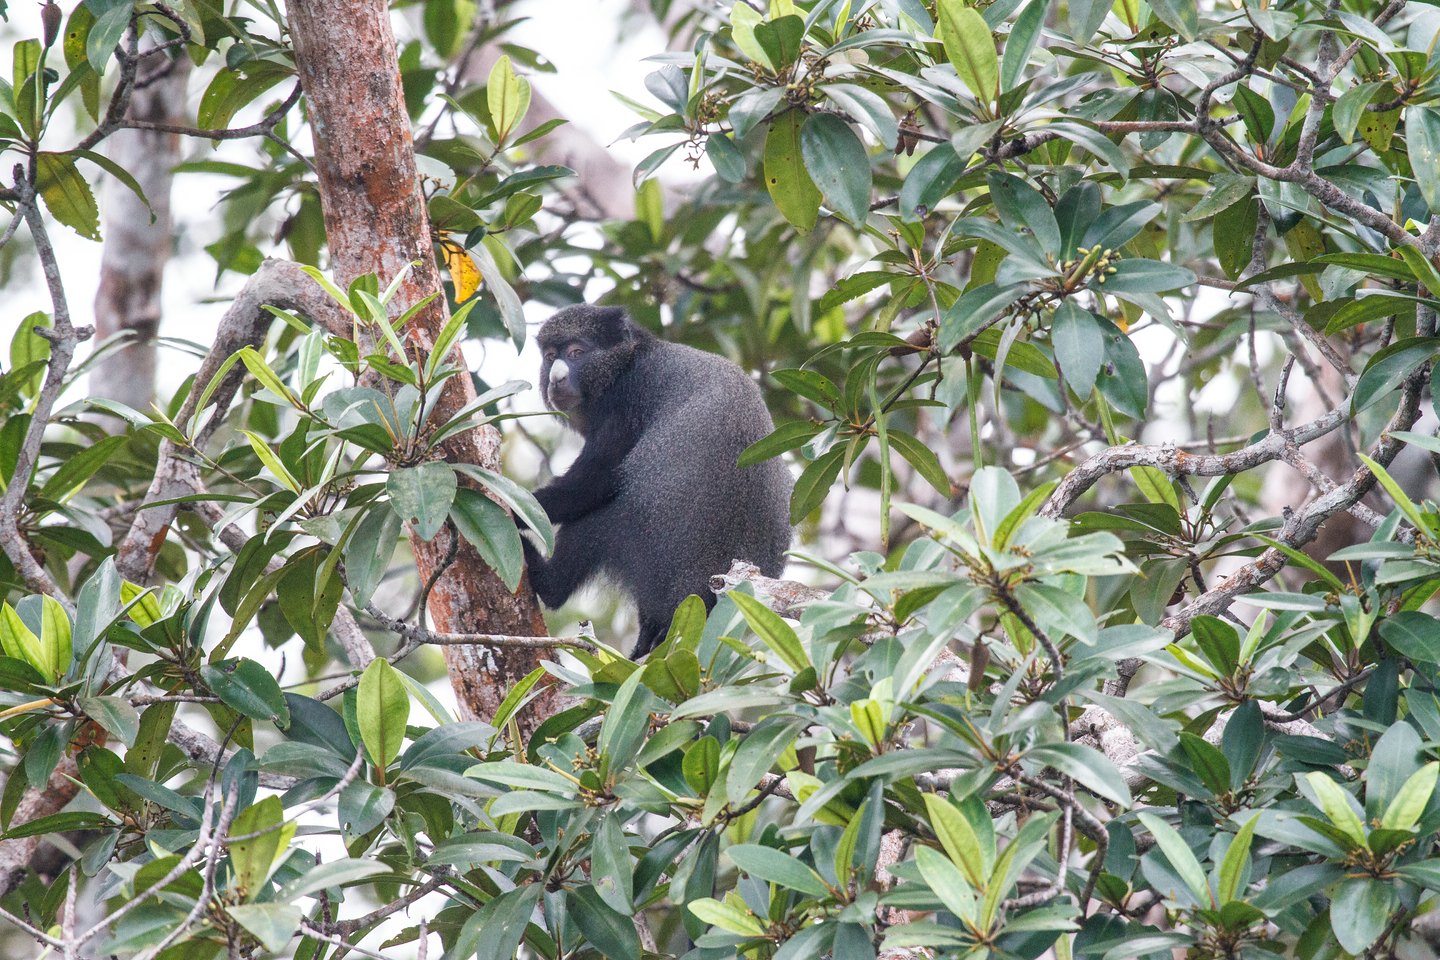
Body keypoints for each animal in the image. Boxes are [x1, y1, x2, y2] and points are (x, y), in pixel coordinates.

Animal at [521, 303, 794, 656]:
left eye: (576, 352)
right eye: (551, 355)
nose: (557, 377)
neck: (626, 363)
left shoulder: (626, 403)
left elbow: (594, 482)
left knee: (599, 516)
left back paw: (548, 582)